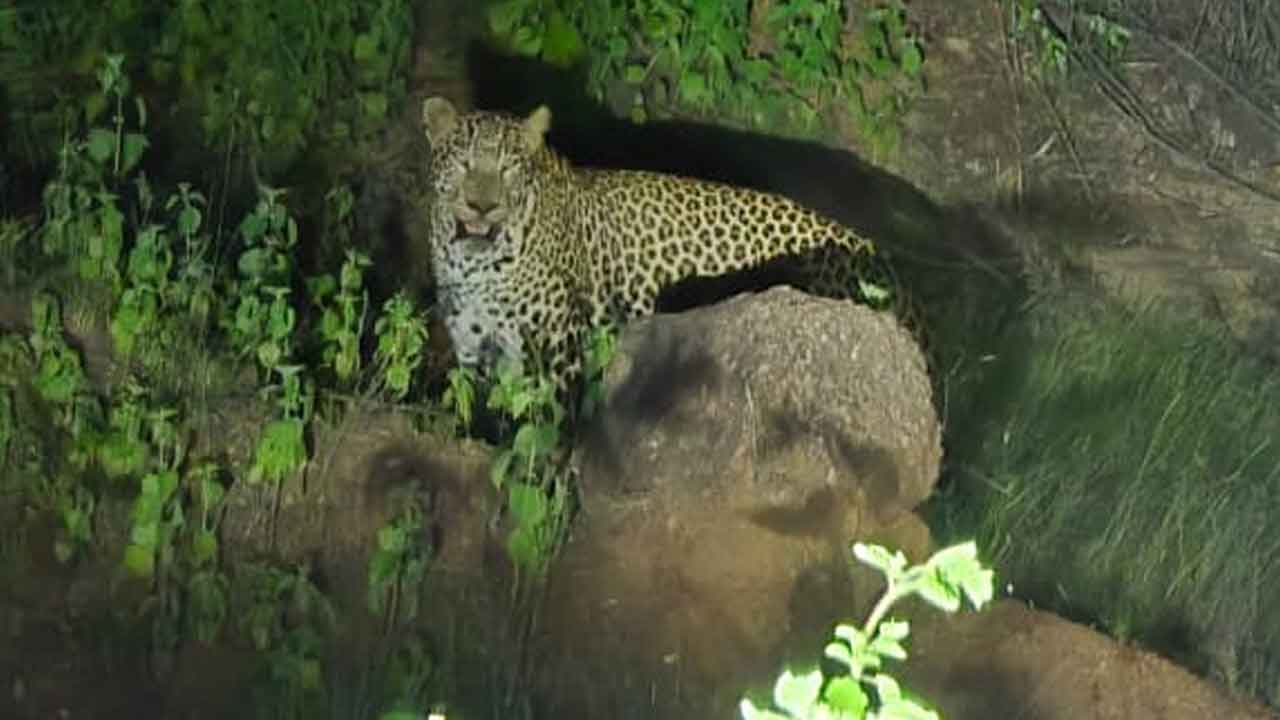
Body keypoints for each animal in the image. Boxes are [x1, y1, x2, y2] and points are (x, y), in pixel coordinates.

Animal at [420, 96, 879, 398]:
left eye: (508, 169)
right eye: (463, 165)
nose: (482, 205)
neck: (474, 266)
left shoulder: (560, 346)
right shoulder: (474, 349)